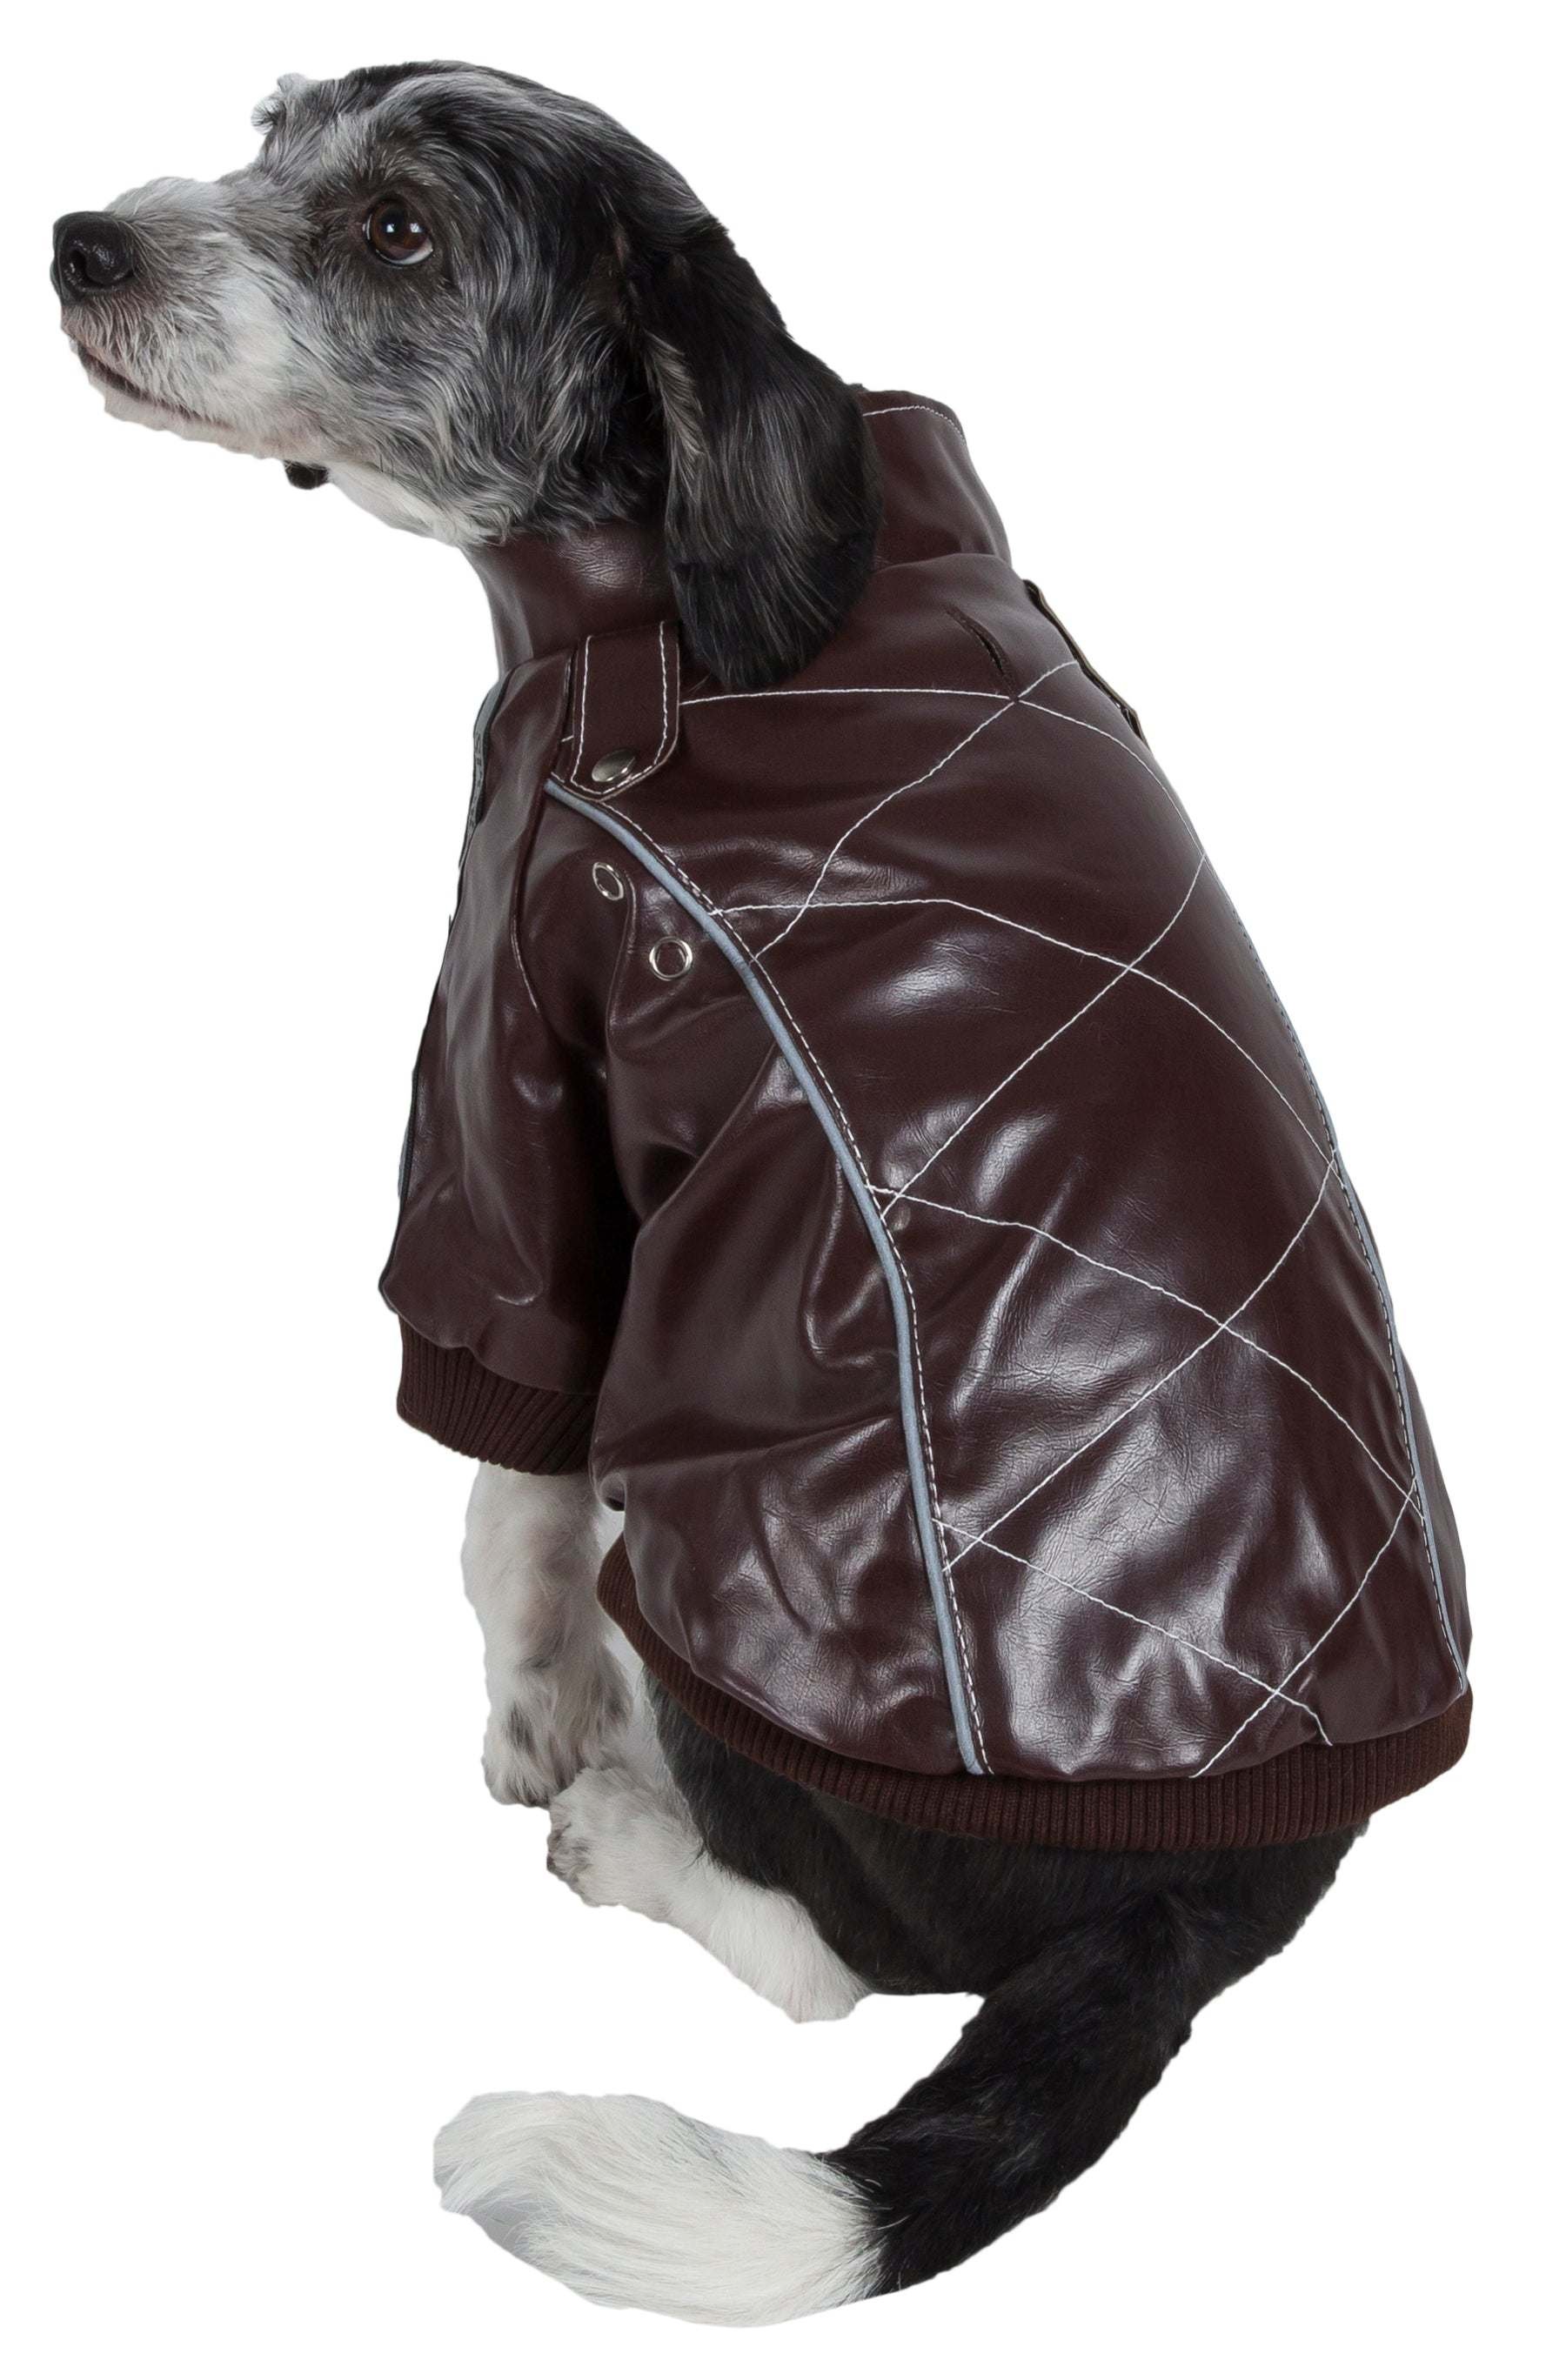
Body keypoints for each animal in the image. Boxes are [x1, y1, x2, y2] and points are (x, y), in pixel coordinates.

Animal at [52, 62, 1468, 2325]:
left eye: (399, 231)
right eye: (267, 132)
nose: (78, 243)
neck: (689, 575)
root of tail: (1194, 1906)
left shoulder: (518, 1087)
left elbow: (507, 1495)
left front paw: (535, 1725)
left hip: (722, 1604)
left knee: (829, 1967)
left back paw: (628, 1831)